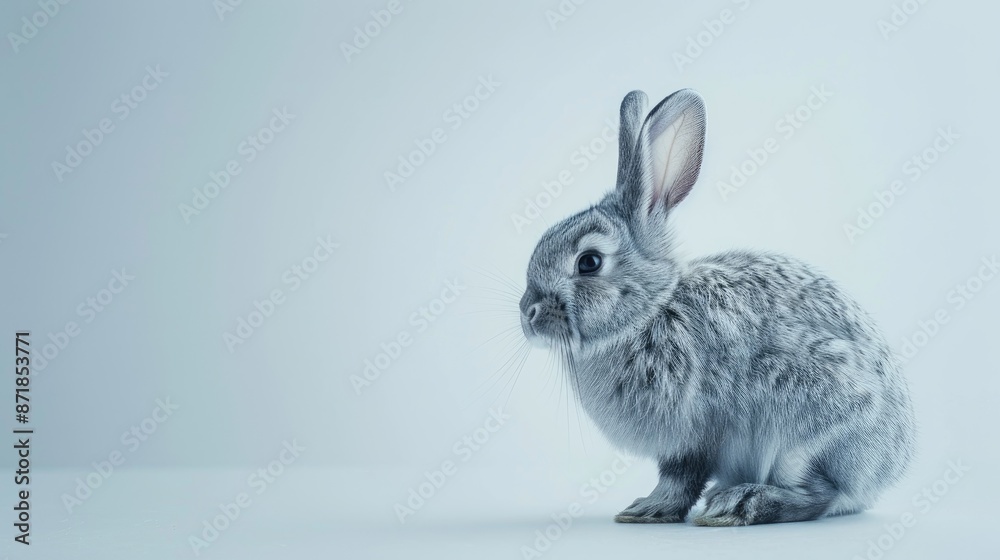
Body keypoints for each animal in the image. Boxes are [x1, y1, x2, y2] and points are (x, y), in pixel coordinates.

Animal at [518, 88, 915, 526]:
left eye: (588, 262)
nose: (527, 314)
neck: (651, 311)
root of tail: (886, 469)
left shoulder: (693, 434)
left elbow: (681, 479)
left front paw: (648, 509)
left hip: (804, 428)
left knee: (818, 495)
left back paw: (741, 503)